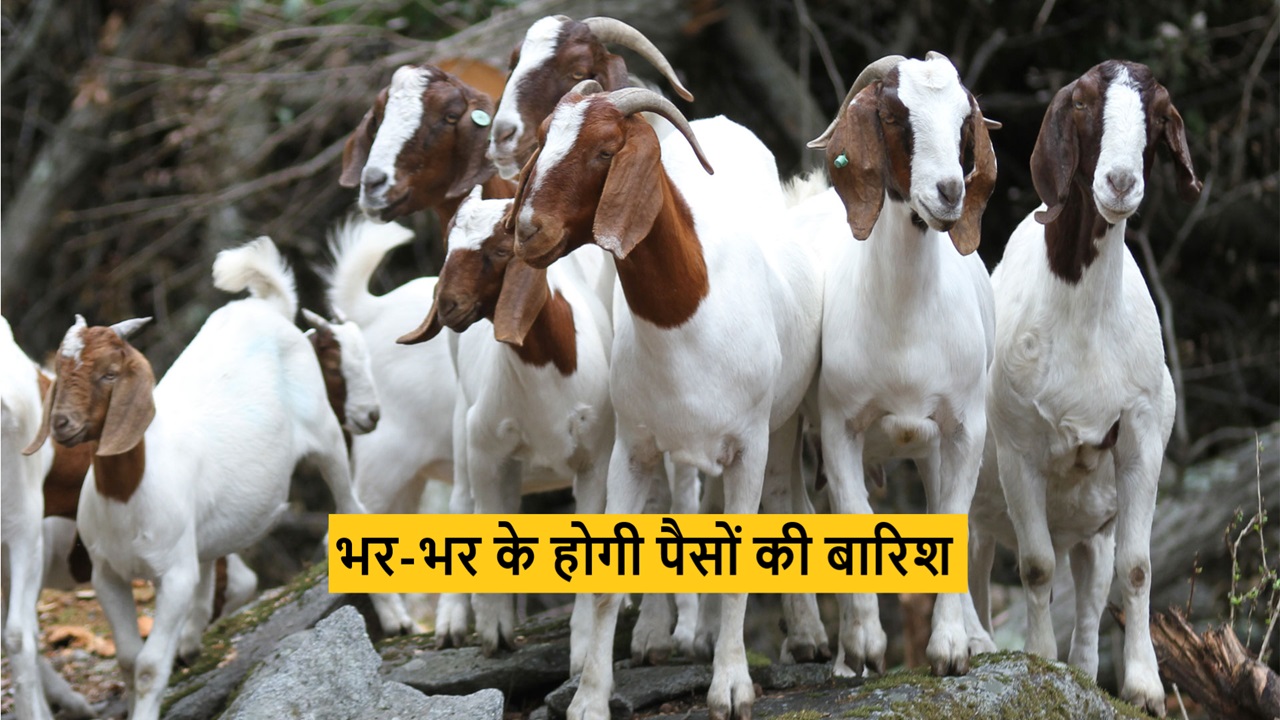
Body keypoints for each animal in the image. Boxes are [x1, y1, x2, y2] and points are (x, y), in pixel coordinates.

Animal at [25, 238, 407, 720]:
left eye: (109, 373)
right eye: (61, 369)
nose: (62, 424)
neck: (129, 495)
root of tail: (268, 307)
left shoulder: (174, 573)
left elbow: (149, 665)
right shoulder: (106, 573)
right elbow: (129, 659)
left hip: (328, 439)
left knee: (352, 507)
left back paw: (395, 618)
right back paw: (191, 640)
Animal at [399, 187, 614, 672]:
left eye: (499, 251)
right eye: (448, 249)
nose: (447, 305)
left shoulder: (594, 459)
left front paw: (581, 649)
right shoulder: (486, 452)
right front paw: (493, 630)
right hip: (463, 429)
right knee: (462, 505)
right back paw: (451, 623)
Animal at [509, 83, 824, 720]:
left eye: (606, 150)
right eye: (544, 138)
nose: (527, 229)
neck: (691, 316)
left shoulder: (748, 444)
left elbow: (740, 564)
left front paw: (731, 687)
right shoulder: (631, 449)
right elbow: (611, 576)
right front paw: (590, 698)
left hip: (784, 420)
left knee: (789, 502)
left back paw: (806, 637)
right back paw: (665, 637)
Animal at [807, 52, 1000, 677]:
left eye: (965, 121)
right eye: (894, 116)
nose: (949, 192)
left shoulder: (964, 427)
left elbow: (952, 520)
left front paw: (951, 648)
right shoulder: (838, 425)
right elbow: (851, 517)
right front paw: (867, 644)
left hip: (934, 447)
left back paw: (978, 636)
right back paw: (842, 655)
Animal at [970, 60, 1200, 717]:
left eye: (1159, 116)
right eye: (1082, 104)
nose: (1120, 182)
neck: (1083, 318)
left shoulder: (1142, 435)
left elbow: (1139, 568)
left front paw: (1144, 686)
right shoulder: (1019, 448)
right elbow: (1036, 567)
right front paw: (1039, 662)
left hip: (1090, 525)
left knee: (1090, 589)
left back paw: (1082, 666)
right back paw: (974, 644)